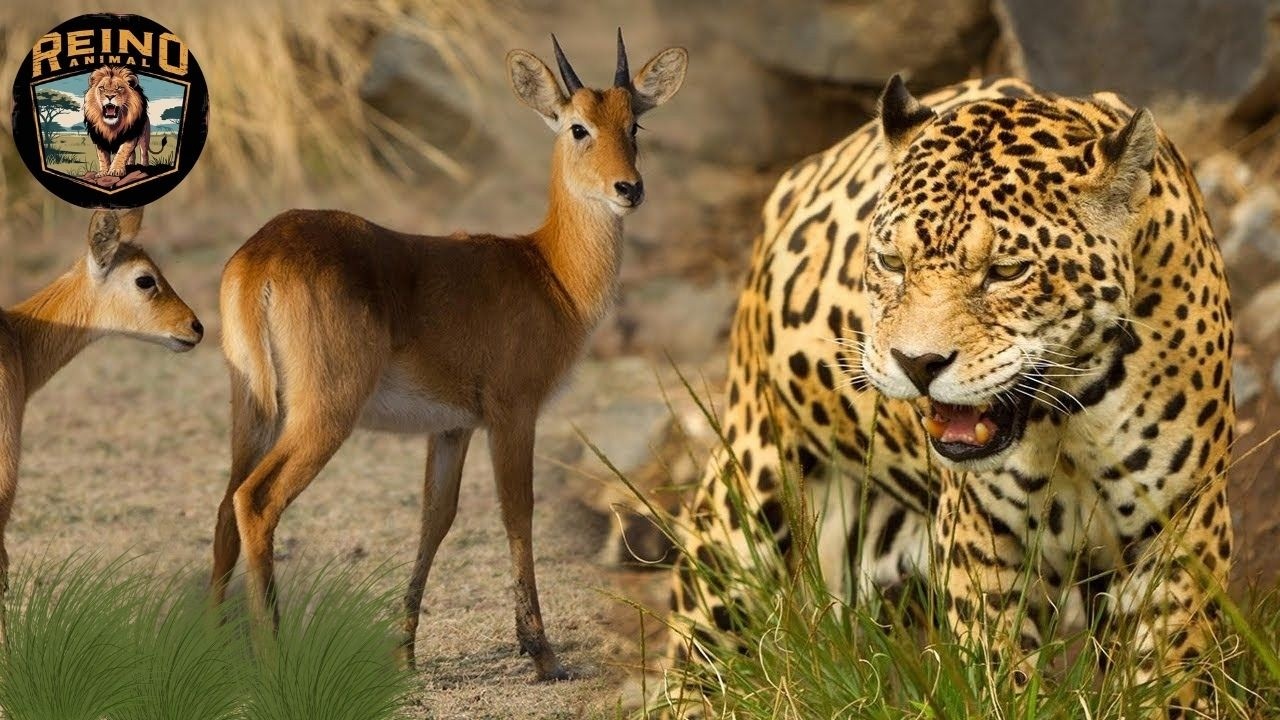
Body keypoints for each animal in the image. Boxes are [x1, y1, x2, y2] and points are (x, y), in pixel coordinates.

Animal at [209, 31, 686, 680]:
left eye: (634, 123)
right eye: (578, 127)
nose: (629, 189)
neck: (548, 272)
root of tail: (260, 253)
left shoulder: (452, 427)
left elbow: (435, 520)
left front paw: (404, 650)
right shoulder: (513, 413)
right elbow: (518, 511)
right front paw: (542, 653)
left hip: (253, 410)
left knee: (222, 511)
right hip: (323, 415)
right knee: (255, 502)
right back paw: (274, 658)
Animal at [657, 76, 1234, 719]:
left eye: (1007, 271)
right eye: (891, 262)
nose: (918, 364)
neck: (1067, 415)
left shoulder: (1180, 530)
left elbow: (1171, 674)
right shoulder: (980, 542)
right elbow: (1003, 675)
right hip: (743, 503)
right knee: (700, 641)